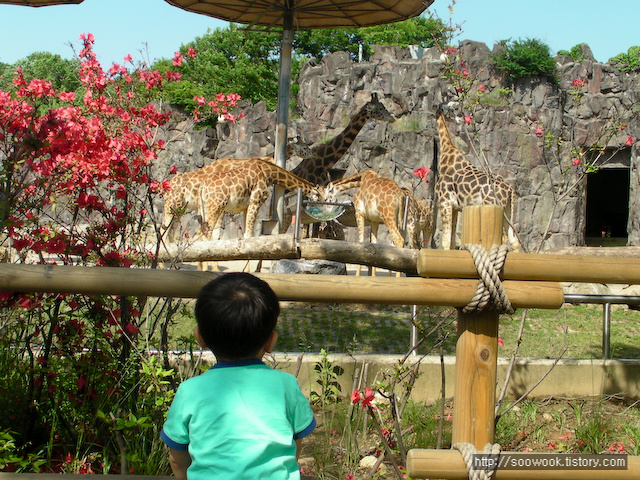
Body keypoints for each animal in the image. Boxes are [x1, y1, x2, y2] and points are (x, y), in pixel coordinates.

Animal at [436, 109, 520, 251]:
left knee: (502, 239)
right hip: (508, 209)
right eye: (452, 109)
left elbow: (446, 241)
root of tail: (510, 190)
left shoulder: (445, 202)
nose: (460, 119)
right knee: (514, 240)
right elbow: (452, 241)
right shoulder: (455, 207)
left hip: (493, 207)